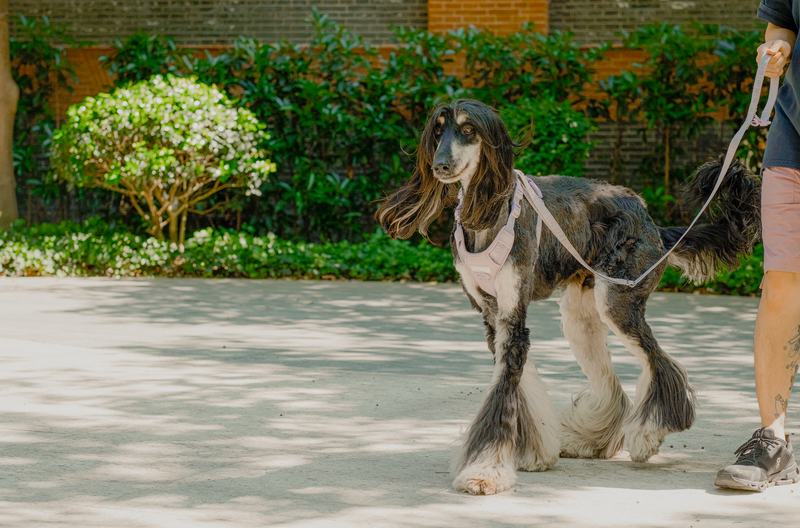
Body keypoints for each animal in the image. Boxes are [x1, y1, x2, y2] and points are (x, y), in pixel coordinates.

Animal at [376, 99, 764, 496]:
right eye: (438, 130)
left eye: (469, 129)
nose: (440, 165)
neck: (484, 208)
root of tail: (650, 220)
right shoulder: (493, 316)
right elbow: (517, 388)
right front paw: (529, 454)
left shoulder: (512, 312)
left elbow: (504, 392)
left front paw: (484, 470)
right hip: (581, 312)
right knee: (611, 379)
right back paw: (590, 439)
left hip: (619, 299)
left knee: (659, 363)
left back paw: (647, 434)